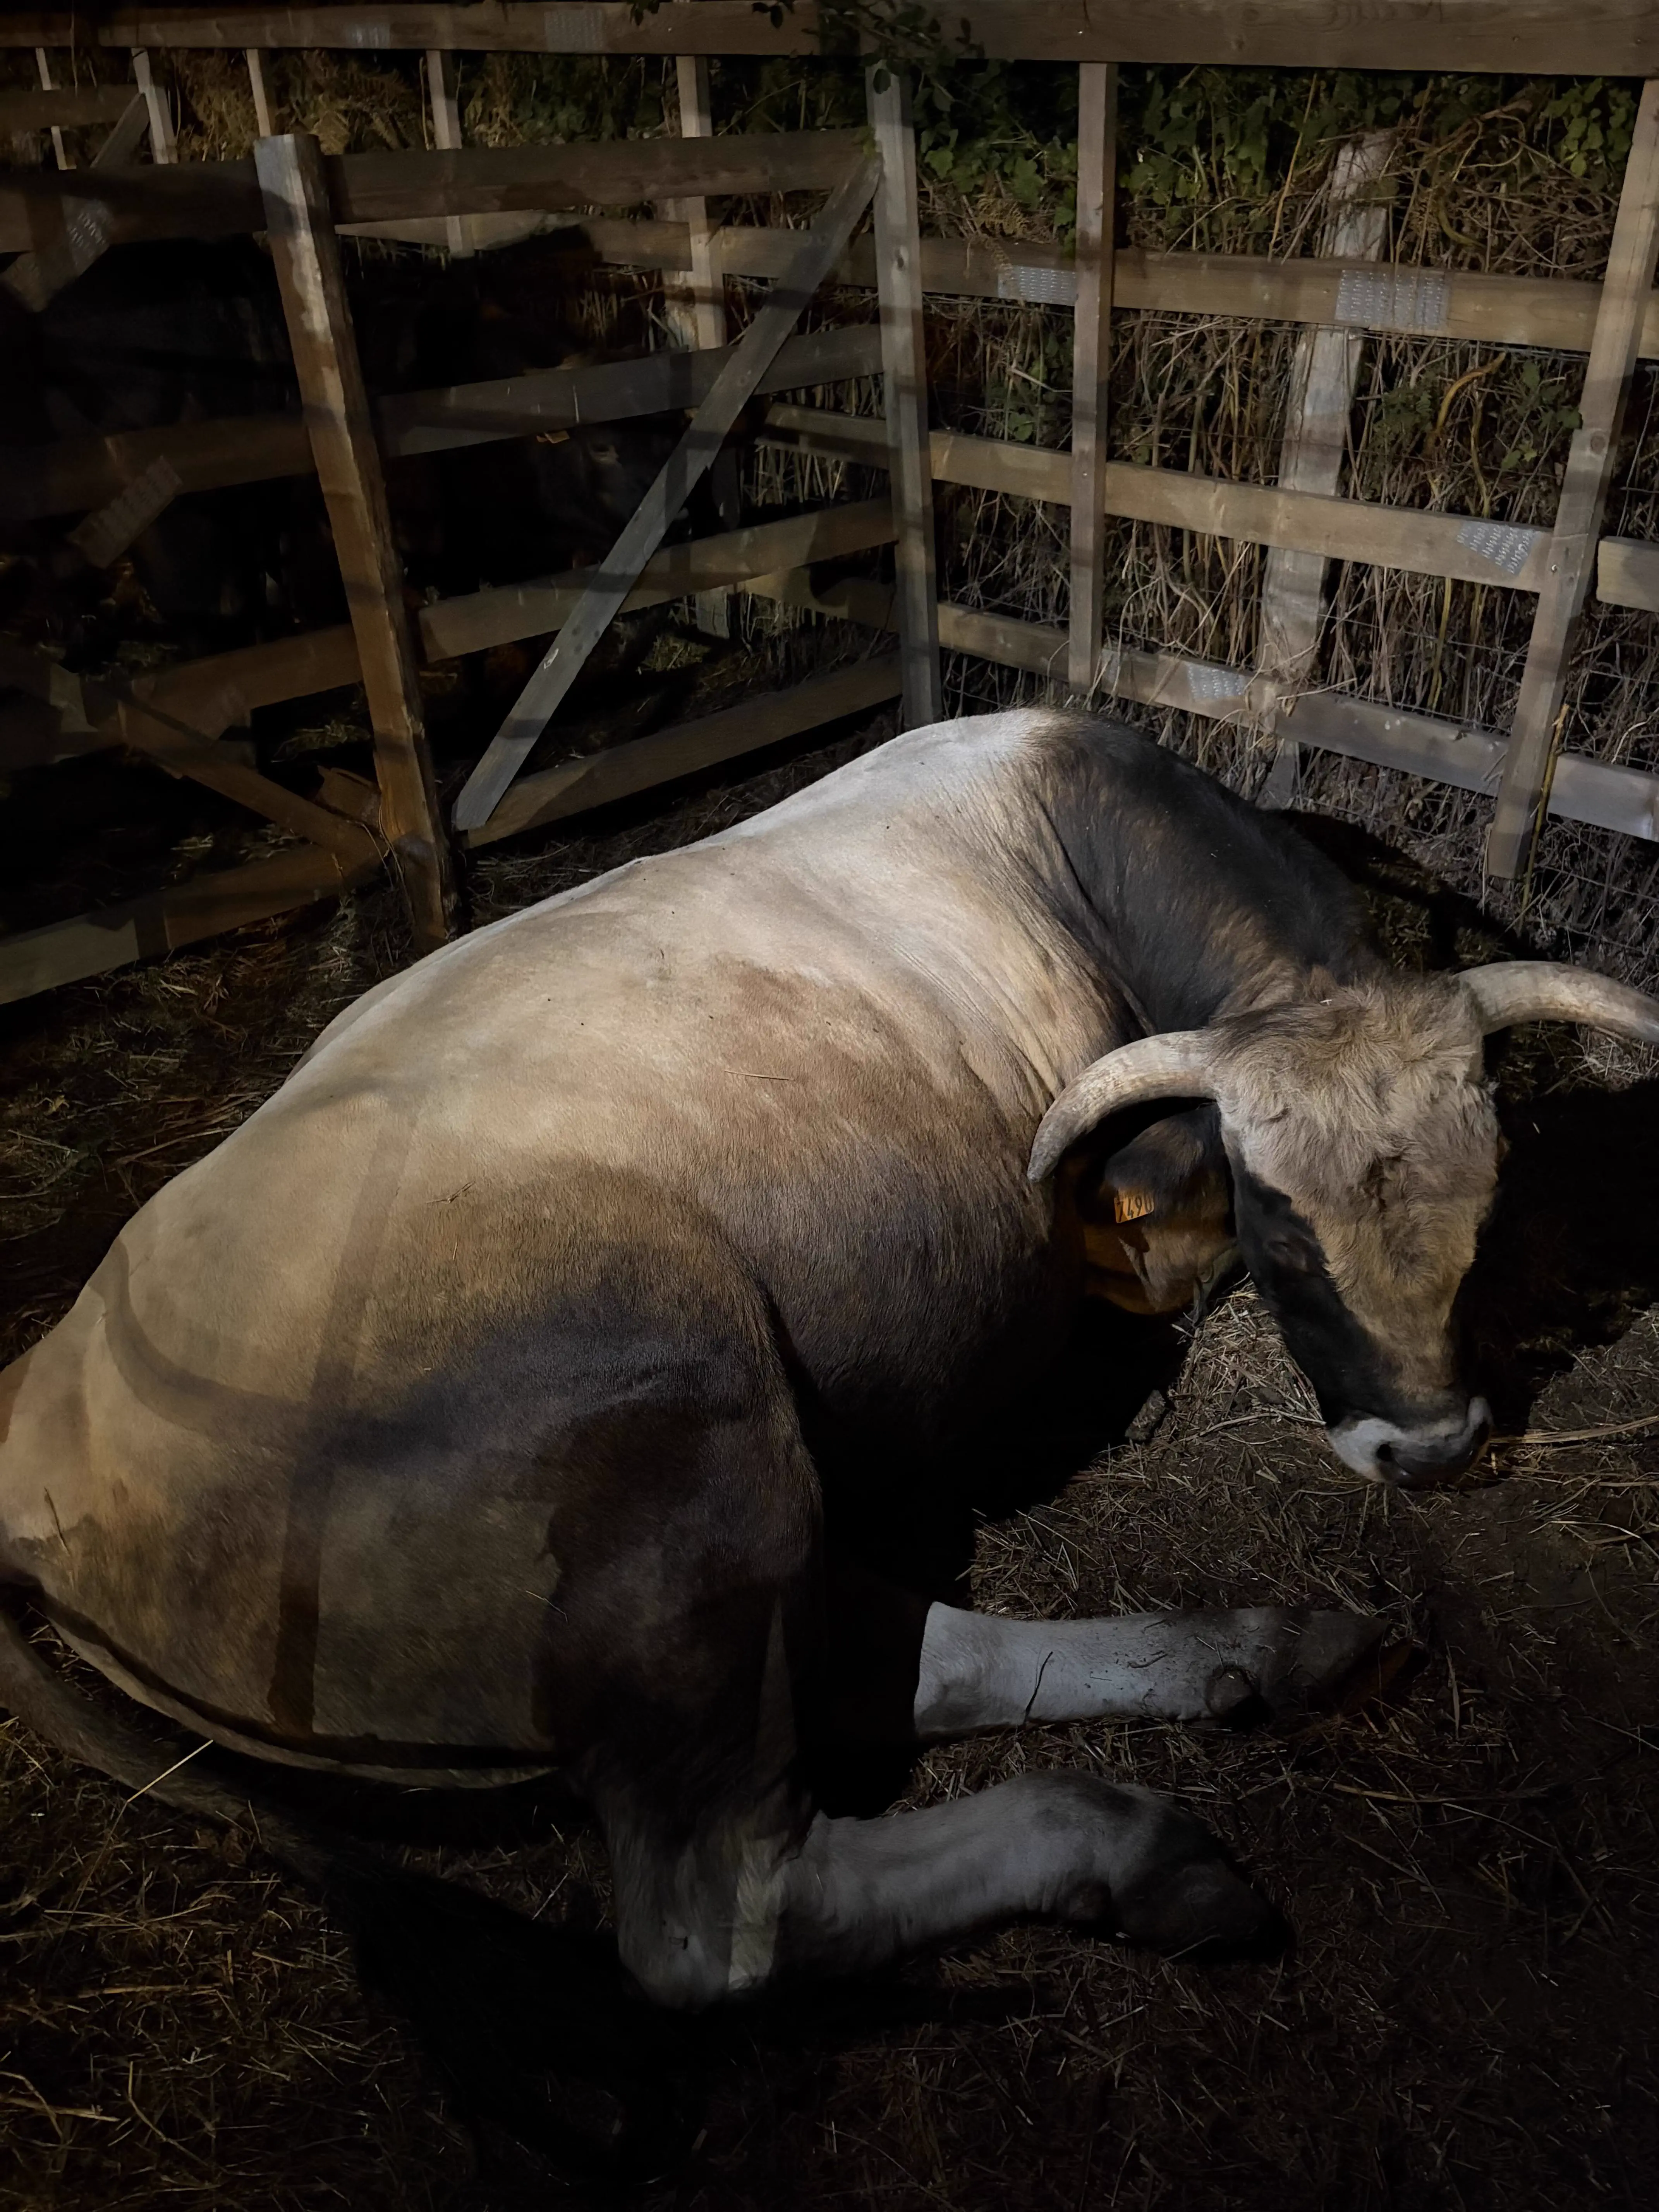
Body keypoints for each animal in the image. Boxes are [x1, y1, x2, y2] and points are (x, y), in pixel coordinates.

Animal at [2, 709, 1655, 2011]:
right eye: (1284, 1234)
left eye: (1488, 1203)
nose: (1427, 1449)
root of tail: (44, 1410)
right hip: (686, 1454)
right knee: (728, 1921)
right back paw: (1129, 1845)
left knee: (900, 1649)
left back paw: (1268, 1659)